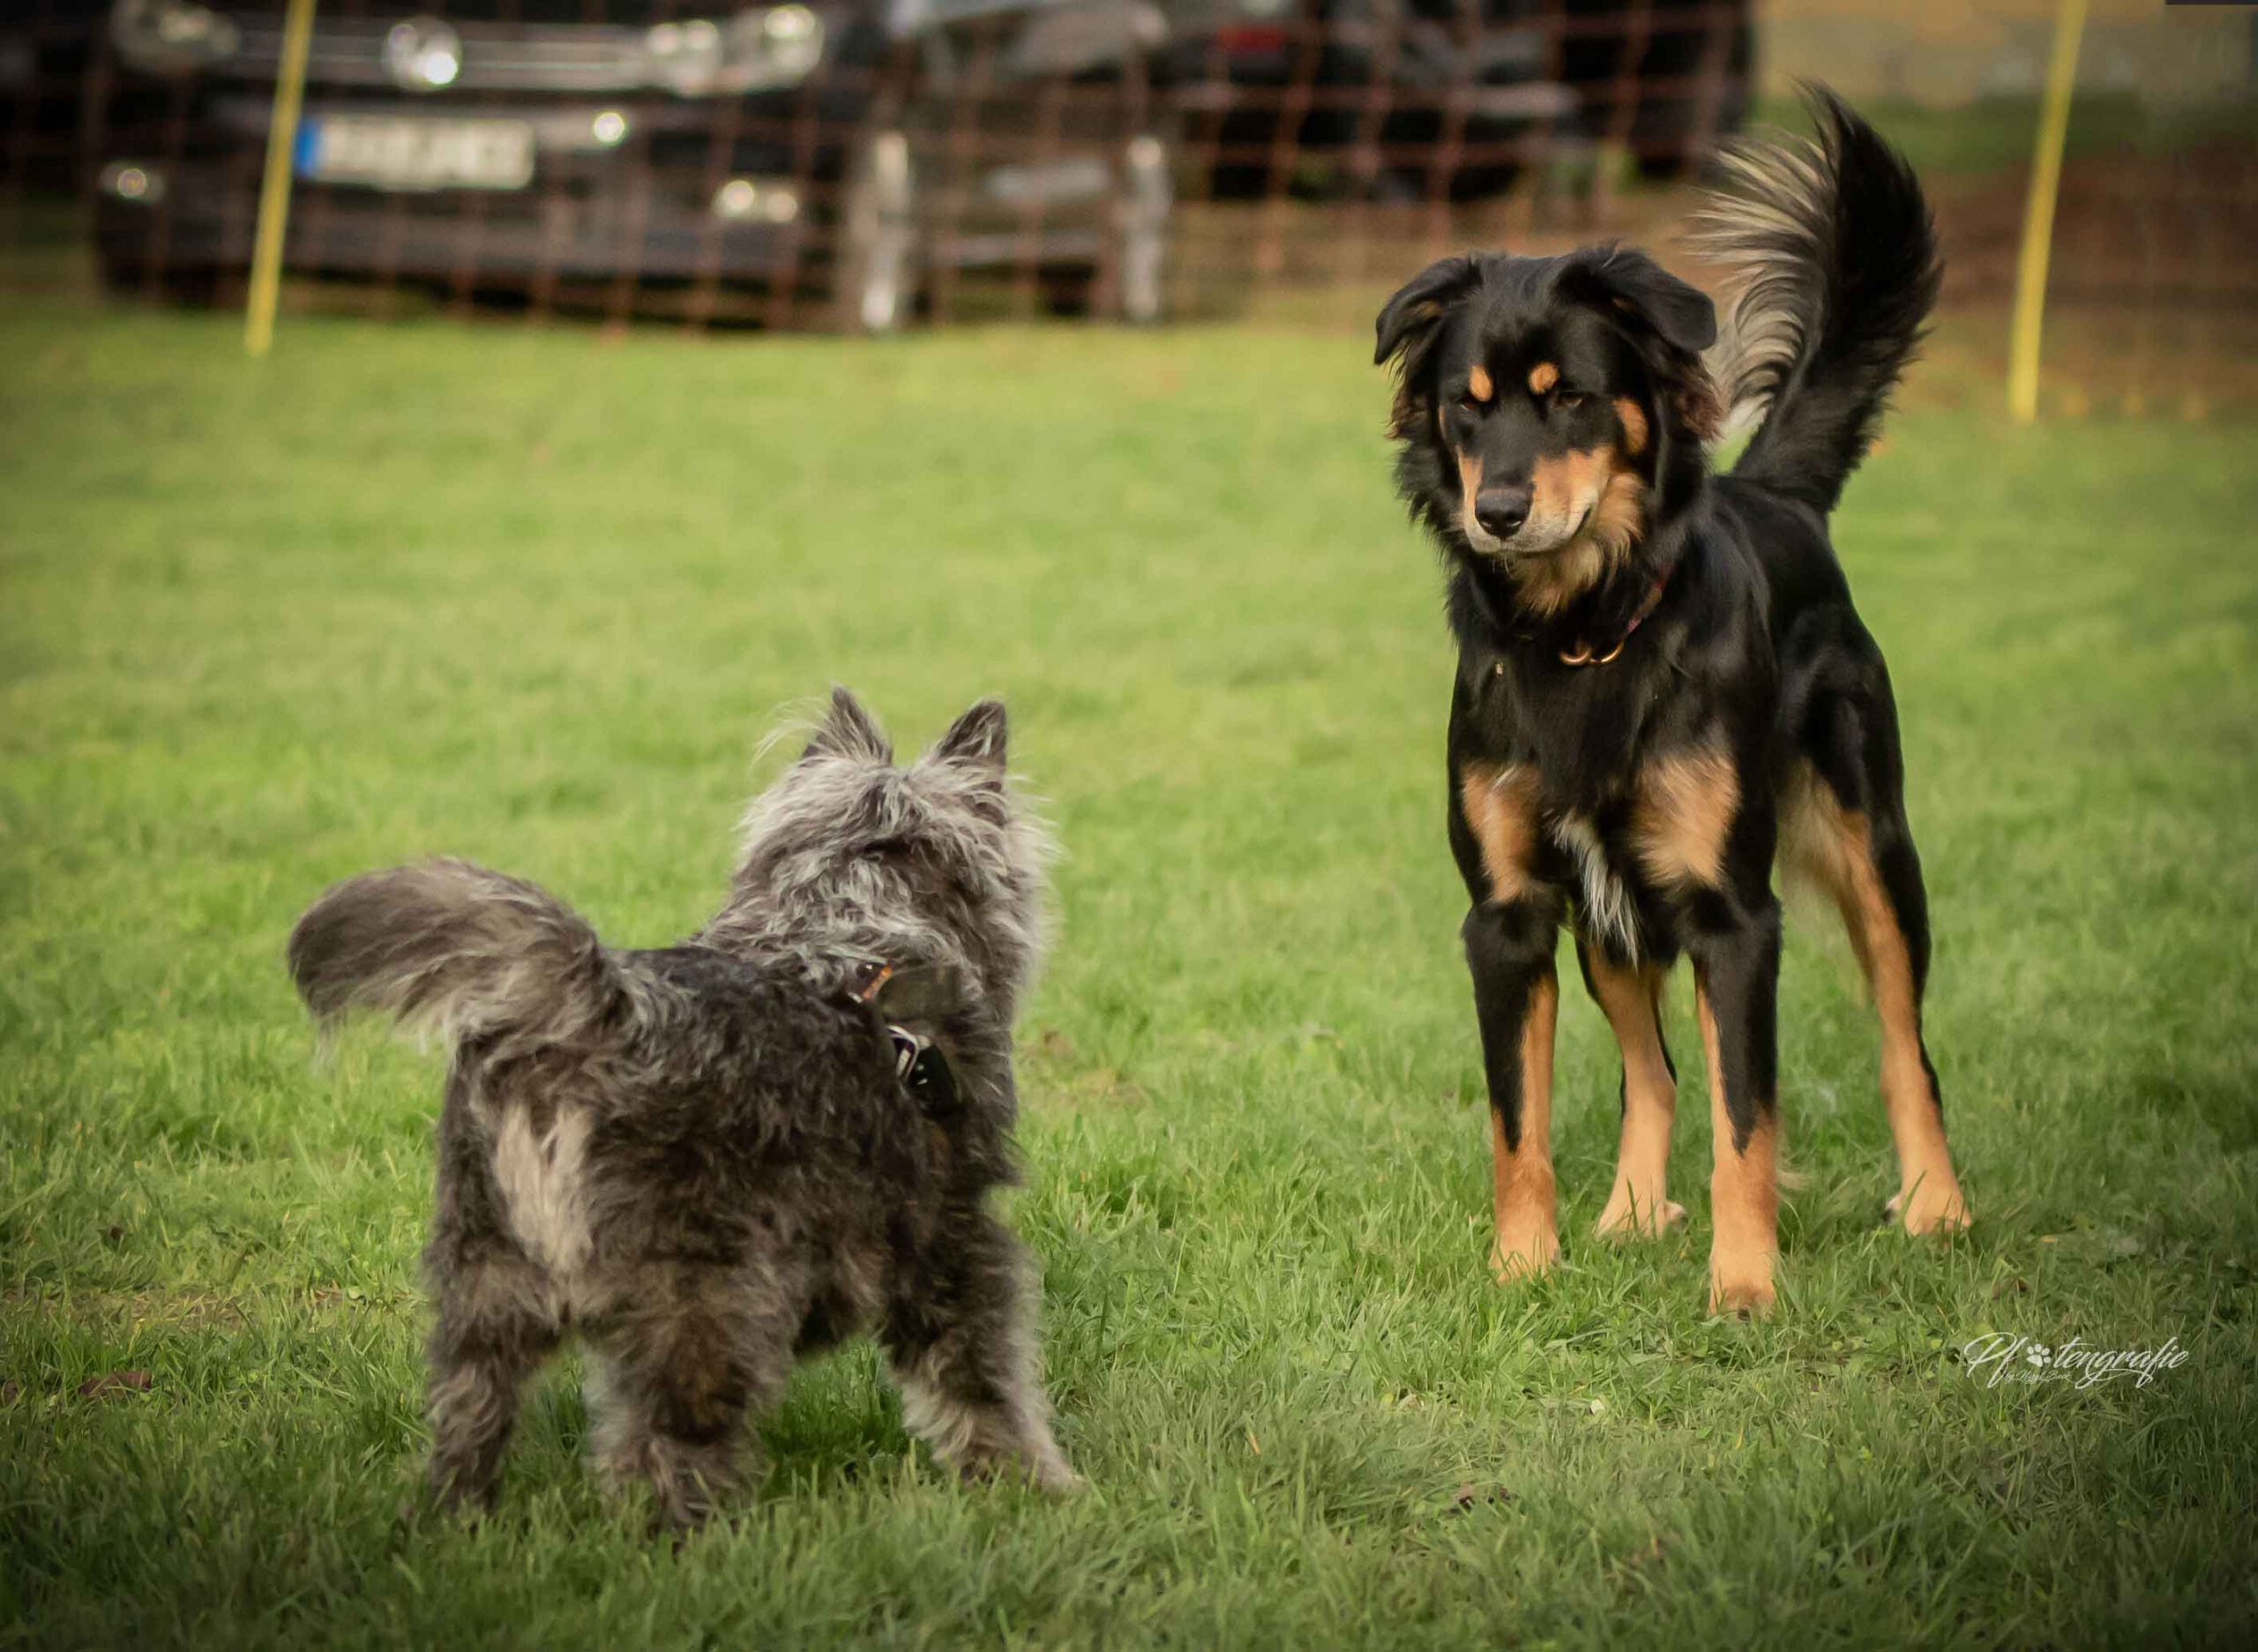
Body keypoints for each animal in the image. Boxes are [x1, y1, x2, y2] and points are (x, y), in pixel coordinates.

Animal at [287, 685, 1079, 1534]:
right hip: (707, 1304)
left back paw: (454, 1524)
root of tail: (590, 1020)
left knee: (468, 1423)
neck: (852, 929)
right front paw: (1036, 1486)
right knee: (658, 1453)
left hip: (485, 1287)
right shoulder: (953, 1239)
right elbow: (987, 1388)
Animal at [1364, 90, 1969, 1309]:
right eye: (1465, 407)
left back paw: (1936, 1202)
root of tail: (1775, 492)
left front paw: (1742, 1291)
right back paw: (1635, 1212)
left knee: (1902, 1041)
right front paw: (1521, 1268)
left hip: (1872, 844)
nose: (1498, 511)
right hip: (1614, 903)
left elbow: (1748, 1121)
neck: (1582, 632)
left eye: (1572, 399)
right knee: (1653, 1068)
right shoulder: (1508, 914)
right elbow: (1518, 1120)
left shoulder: (1734, 915)